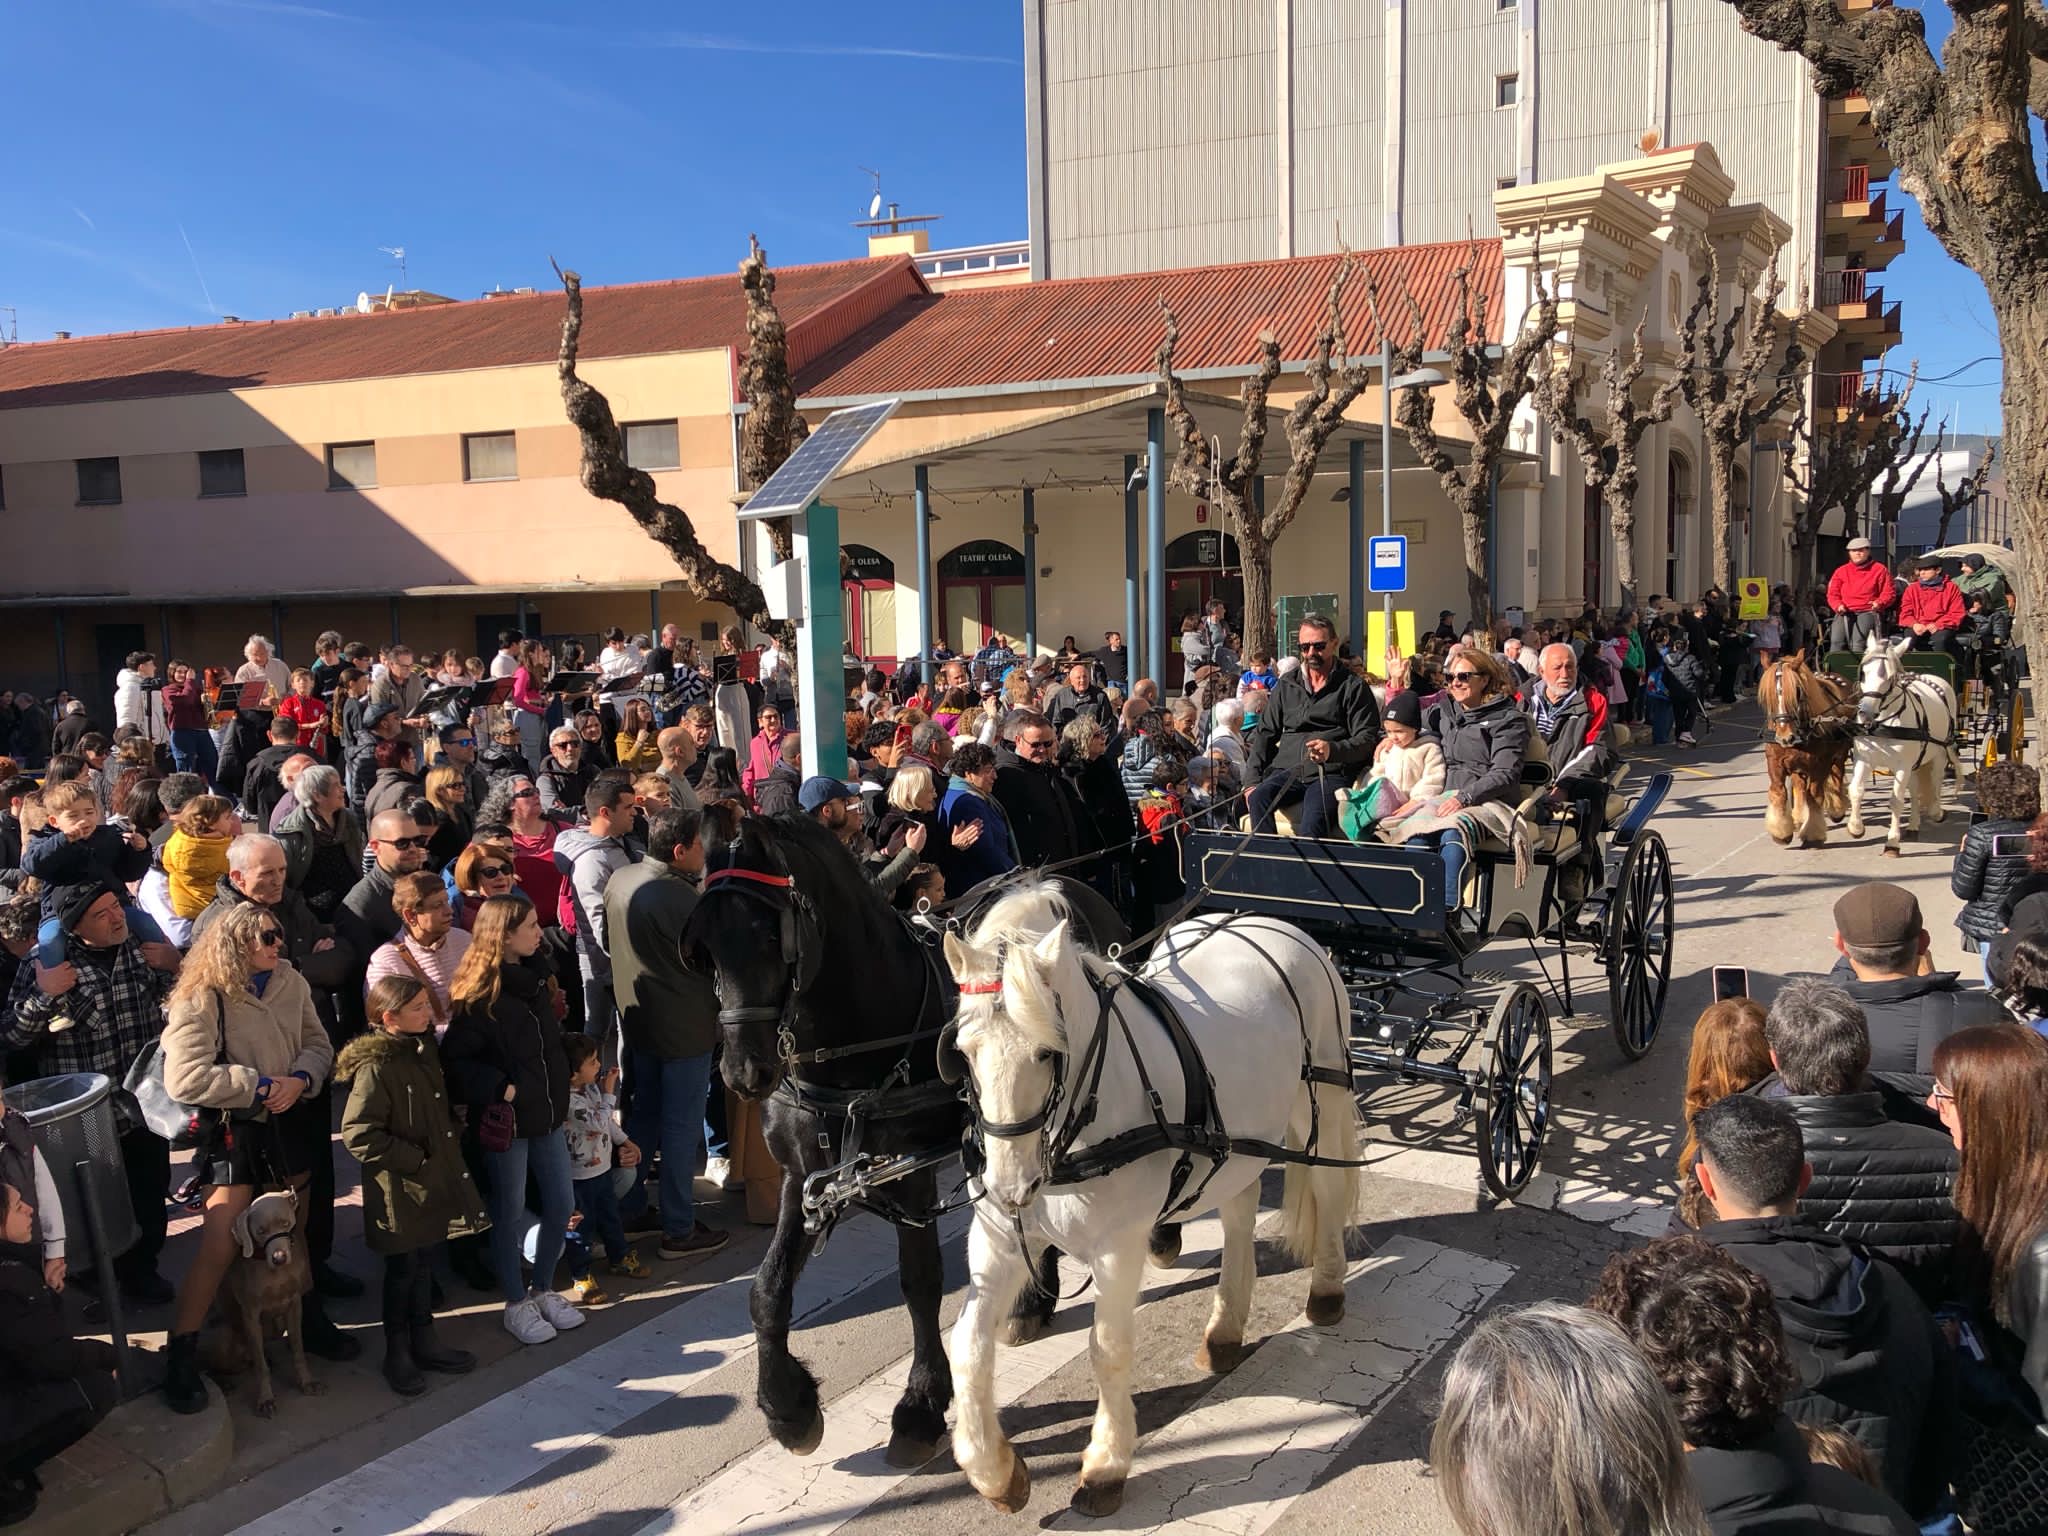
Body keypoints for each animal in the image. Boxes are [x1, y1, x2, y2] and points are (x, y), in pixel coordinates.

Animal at [679, 806, 1130, 1466]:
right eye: (704, 949)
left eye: (769, 935)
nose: (742, 1073)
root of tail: (1055, 883)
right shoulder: (802, 1179)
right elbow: (767, 1289)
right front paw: (788, 1409)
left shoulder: (912, 1176)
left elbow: (919, 1283)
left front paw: (919, 1406)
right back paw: (1033, 1301)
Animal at [937, 884, 1359, 1523]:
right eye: (963, 1052)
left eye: (1046, 1052)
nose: (1010, 1186)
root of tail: (1267, 920)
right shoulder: (999, 1237)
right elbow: (967, 1346)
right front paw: (994, 1470)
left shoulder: (1118, 1244)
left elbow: (1107, 1348)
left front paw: (1106, 1466)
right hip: (1239, 1141)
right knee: (1238, 1215)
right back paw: (1225, 1329)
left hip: (1324, 1100)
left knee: (1329, 1191)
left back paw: (1328, 1290)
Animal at [1744, 655, 1859, 856]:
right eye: (1768, 695)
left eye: (1797, 692)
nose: (1785, 737)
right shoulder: (1775, 762)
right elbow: (1778, 792)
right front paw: (1781, 832)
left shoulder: (1820, 763)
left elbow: (1814, 796)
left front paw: (1813, 834)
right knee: (1799, 785)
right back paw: (1798, 817)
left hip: (1839, 752)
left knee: (1837, 774)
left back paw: (1836, 808)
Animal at [1851, 630, 1957, 860]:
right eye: (1863, 673)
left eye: (1890, 678)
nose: (1865, 713)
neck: (1882, 722)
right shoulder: (1865, 759)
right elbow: (1855, 790)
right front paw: (1855, 827)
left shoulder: (1902, 765)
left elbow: (1896, 801)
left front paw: (1892, 843)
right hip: (1914, 764)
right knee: (1915, 791)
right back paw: (1914, 824)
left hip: (1938, 753)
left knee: (1935, 782)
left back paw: (1936, 811)